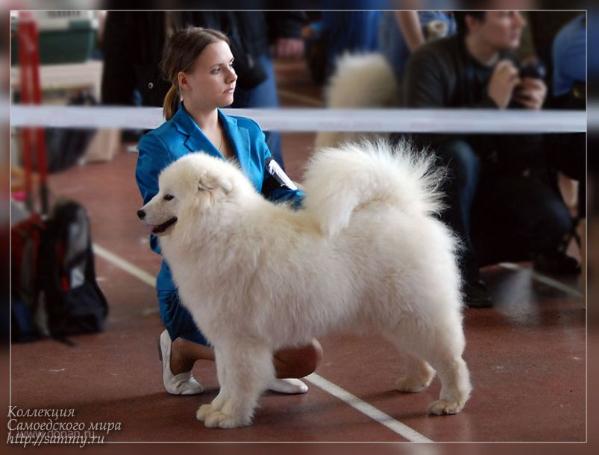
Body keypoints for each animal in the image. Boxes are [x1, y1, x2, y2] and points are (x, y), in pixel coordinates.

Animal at [139, 141, 474, 430]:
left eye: (169, 196)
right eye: (158, 191)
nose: (140, 211)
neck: (220, 229)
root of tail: (400, 208)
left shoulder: (239, 339)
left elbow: (238, 380)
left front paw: (231, 416)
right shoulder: (223, 338)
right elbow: (226, 378)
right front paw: (218, 408)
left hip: (417, 311)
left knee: (450, 359)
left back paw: (450, 402)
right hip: (395, 313)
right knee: (417, 354)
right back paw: (413, 382)